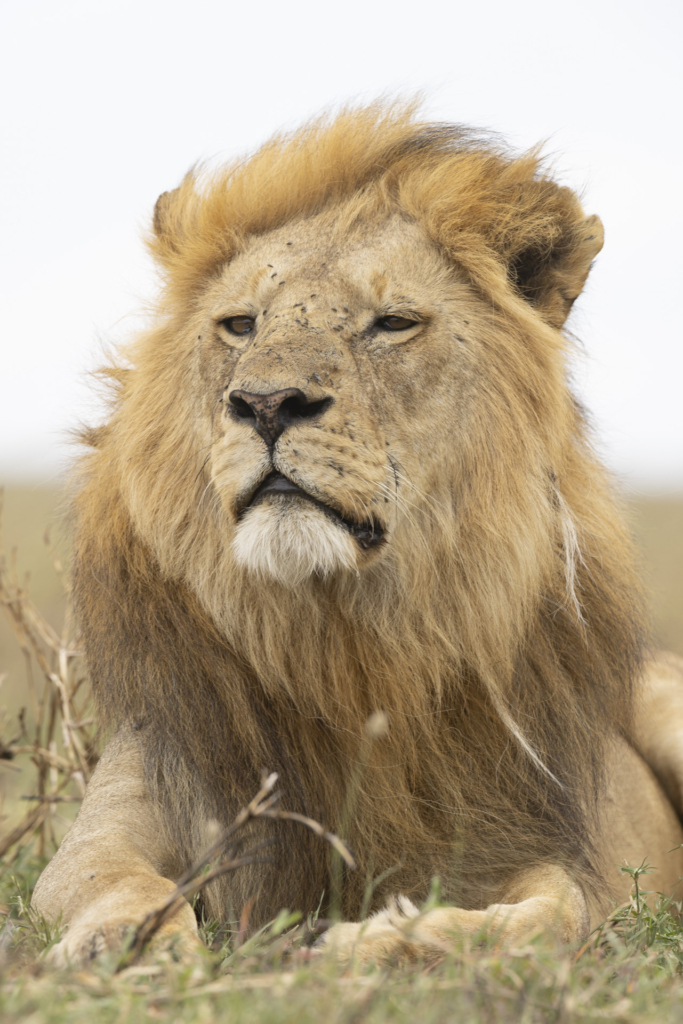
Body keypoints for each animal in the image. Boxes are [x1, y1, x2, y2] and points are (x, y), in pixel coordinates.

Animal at [33, 103, 683, 966]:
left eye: (393, 323)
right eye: (239, 324)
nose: (266, 404)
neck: (340, 642)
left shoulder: (526, 841)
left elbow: (548, 917)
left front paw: (372, 942)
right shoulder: (131, 808)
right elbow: (108, 879)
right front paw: (123, 948)